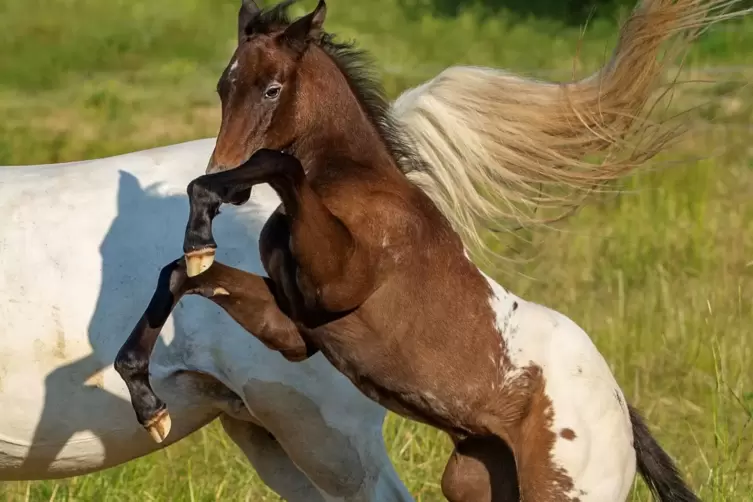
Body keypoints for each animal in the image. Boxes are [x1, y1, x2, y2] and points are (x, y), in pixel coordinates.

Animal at [0, 0, 744, 500]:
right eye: (223, 85)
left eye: (273, 88)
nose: (223, 169)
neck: (367, 184)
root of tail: (617, 405)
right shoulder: (296, 329)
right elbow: (183, 273)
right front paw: (144, 388)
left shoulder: (339, 285)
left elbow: (278, 164)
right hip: (451, 475)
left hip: (357, 444)